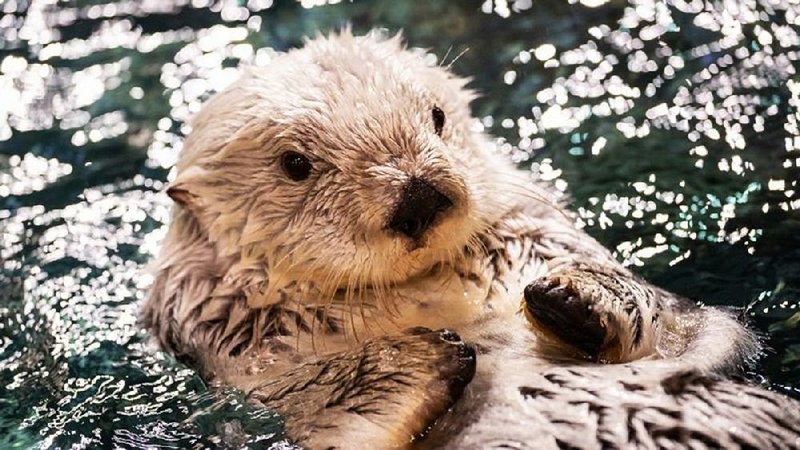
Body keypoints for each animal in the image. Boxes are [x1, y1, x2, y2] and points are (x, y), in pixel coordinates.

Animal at [142, 29, 800, 448]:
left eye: (435, 118)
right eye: (296, 165)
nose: (419, 196)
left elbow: (691, 333)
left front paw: (579, 294)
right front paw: (406, 360)